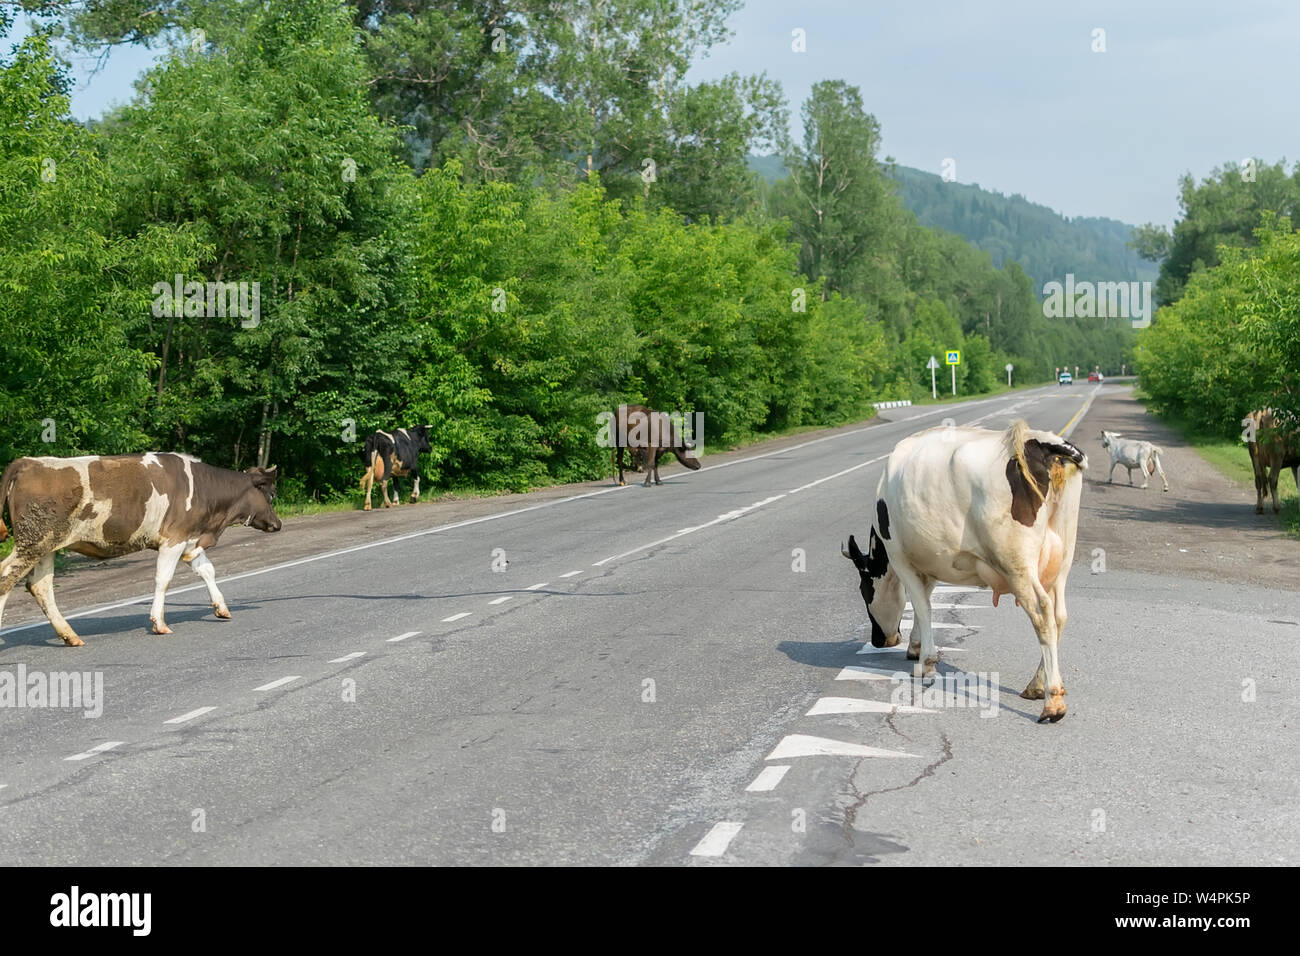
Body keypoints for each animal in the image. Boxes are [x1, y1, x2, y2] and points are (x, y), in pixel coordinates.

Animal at [0, 454, 281, 645]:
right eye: (271, 495)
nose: (278, 524)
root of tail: (28, 462)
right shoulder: (174, 538)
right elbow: (163, 580)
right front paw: (159, 623)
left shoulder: (190, 539)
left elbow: (207, 570)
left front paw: (221, 608)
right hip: (33, 541)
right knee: (6, 577)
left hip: (46, 546)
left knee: (40, 586)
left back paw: (70, 635)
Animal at [842, 420, 1087, 723]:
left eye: (864, 590)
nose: (879, 640)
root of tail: (1039, 441)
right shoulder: (929, 559)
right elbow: (925, 601)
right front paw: (915, 646)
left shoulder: (901, 559)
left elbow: (922, 606)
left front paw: (925, 663)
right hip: (1062, 559)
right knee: (1059, 614)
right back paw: (1036, 685)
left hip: (1016, 563)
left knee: (1042, 612)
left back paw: (1052, 701)